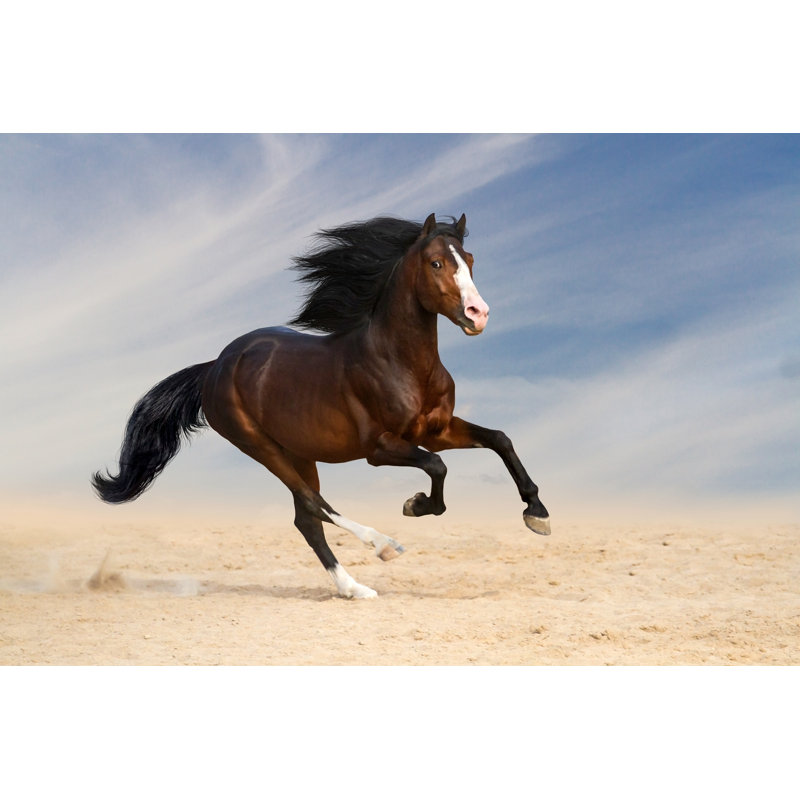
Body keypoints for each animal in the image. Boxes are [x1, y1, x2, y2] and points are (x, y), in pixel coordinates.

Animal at [92, 213, 550, 598]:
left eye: (470, 260)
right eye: (436, 263)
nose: (478, 314)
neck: (400, 362)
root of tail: (215, 366)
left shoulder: (435, 430)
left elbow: (500, 439)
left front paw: (537, 513)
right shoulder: (380, 449)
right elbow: (437, 467)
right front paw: (416, 505)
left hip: (299, 450)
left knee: (306, 518)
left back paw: (352, 588)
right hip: (259, 445)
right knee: (314, 504)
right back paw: (383, 546)